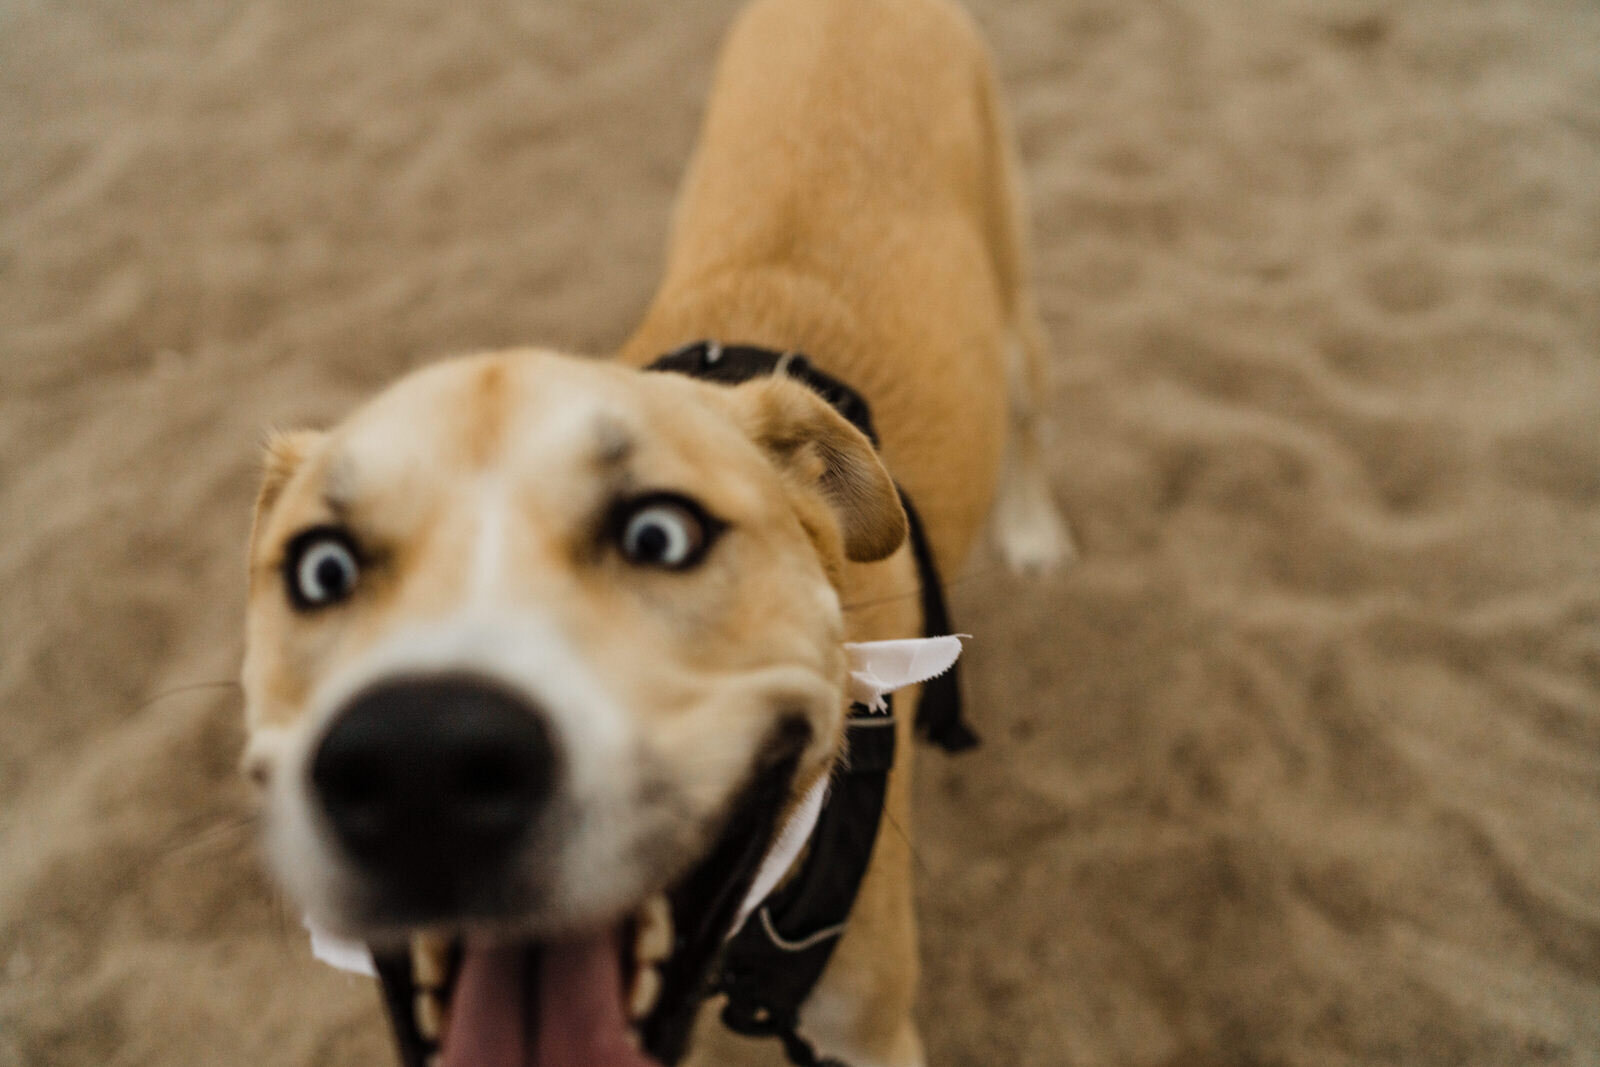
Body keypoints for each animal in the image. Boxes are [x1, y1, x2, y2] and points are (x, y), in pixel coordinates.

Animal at [236, 2, 1068, 1067]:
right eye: (323, 568)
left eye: (661, 536)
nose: (420, 764)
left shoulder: (872, 1033)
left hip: (1014, 316)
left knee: (1031, 418)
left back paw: (1034, 527)